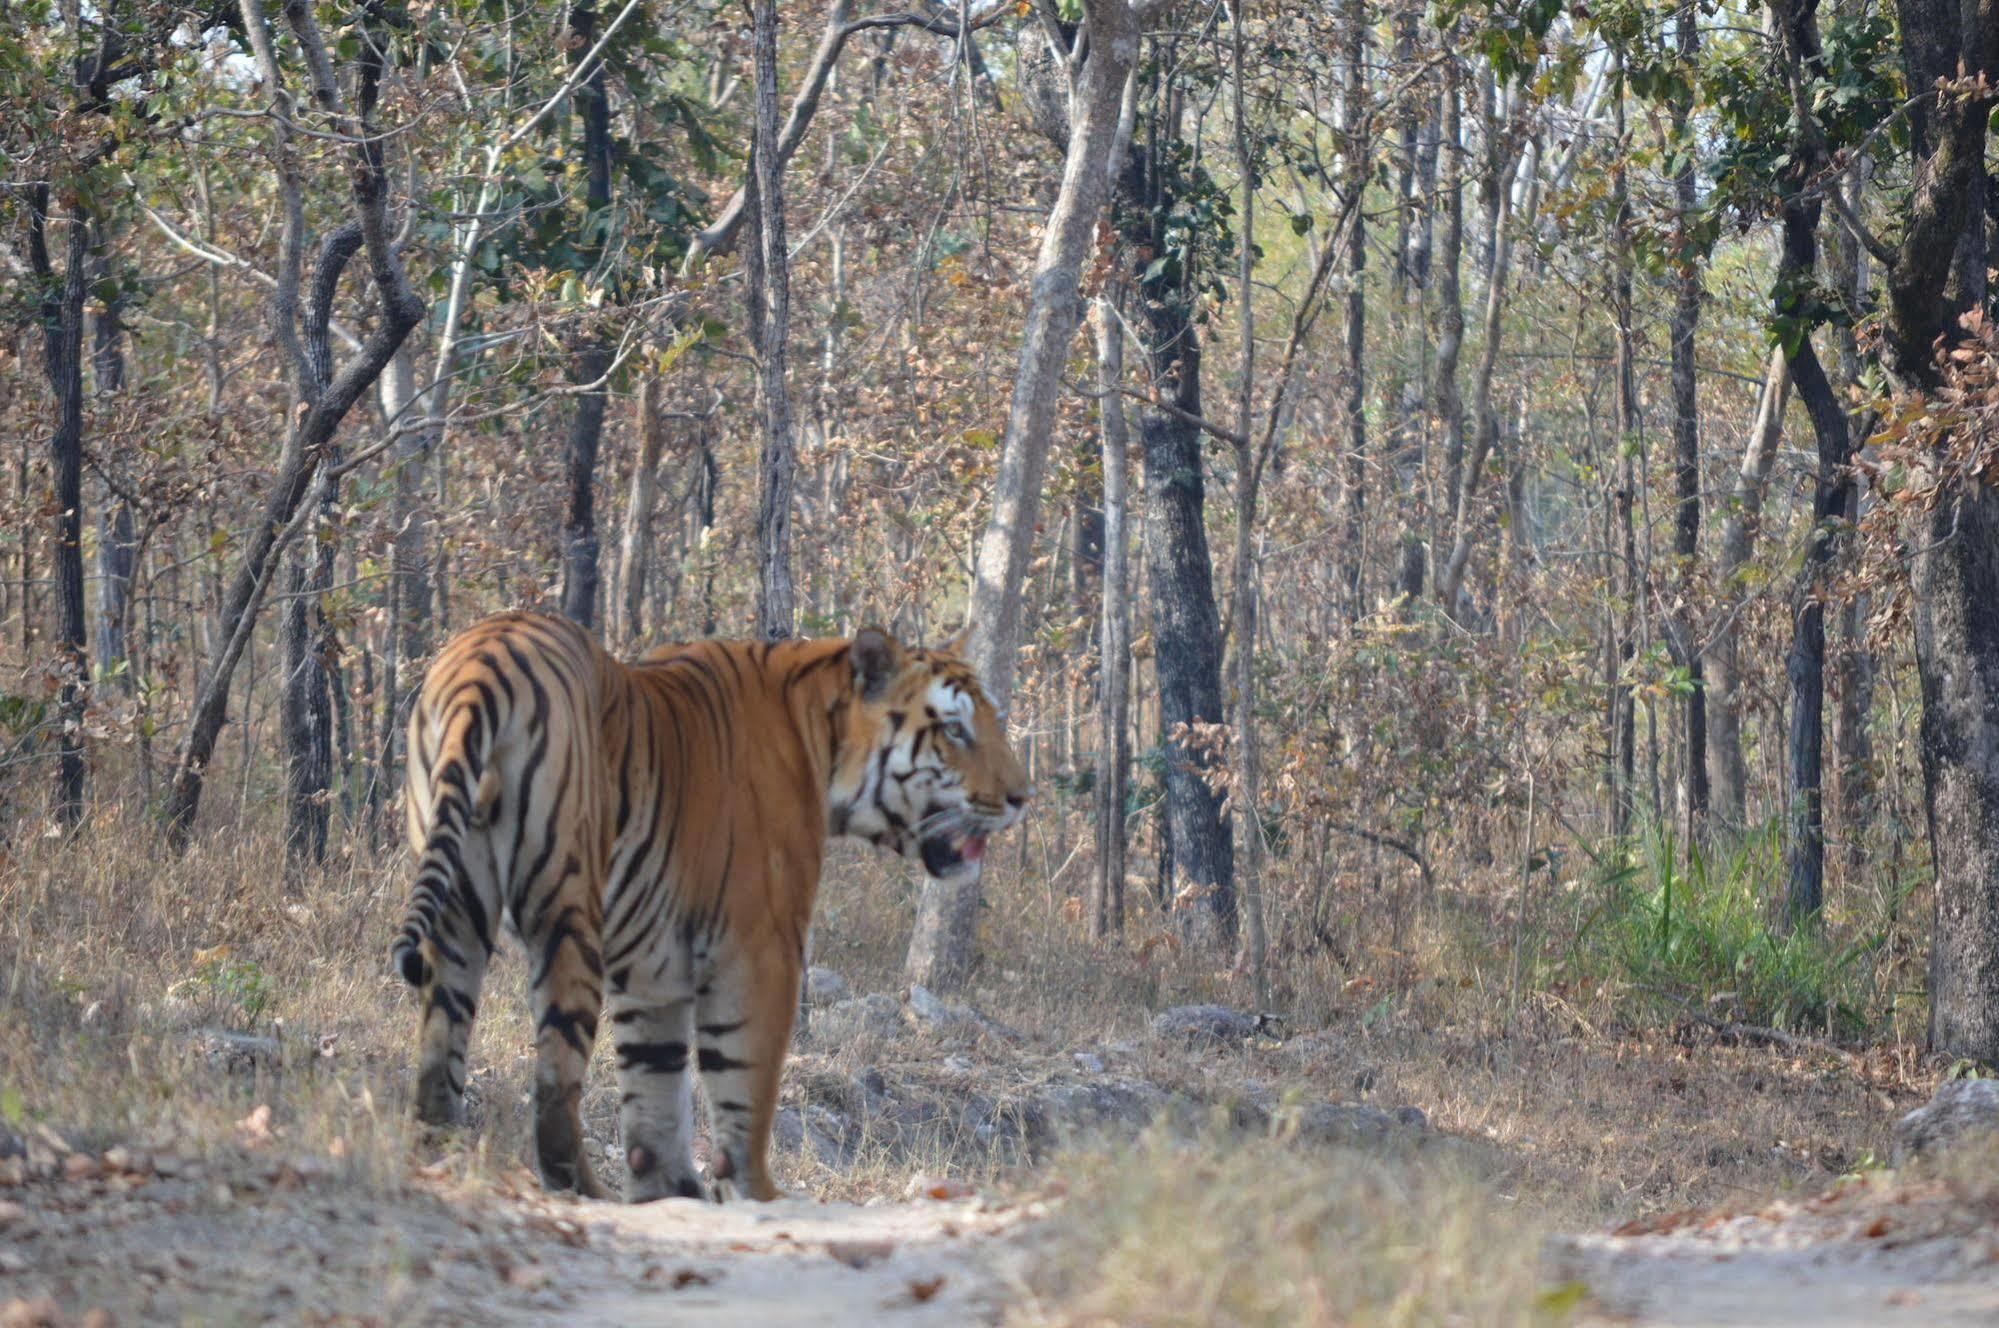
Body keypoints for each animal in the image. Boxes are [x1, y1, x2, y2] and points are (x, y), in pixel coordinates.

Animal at [399, 612, 1039, 1200]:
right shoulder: (761, 945)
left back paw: (441, 1158)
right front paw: (755, 1195)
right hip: (568, 913)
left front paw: (670, 1193)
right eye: (954, 731)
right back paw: (581, 1192)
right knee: (555, 1085)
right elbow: (745, 1089)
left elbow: (655, 1093)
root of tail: (484, 662)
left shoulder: (653, 970)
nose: (1022, 797)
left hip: (459, 914)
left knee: (439, 1058)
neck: (823, 736)